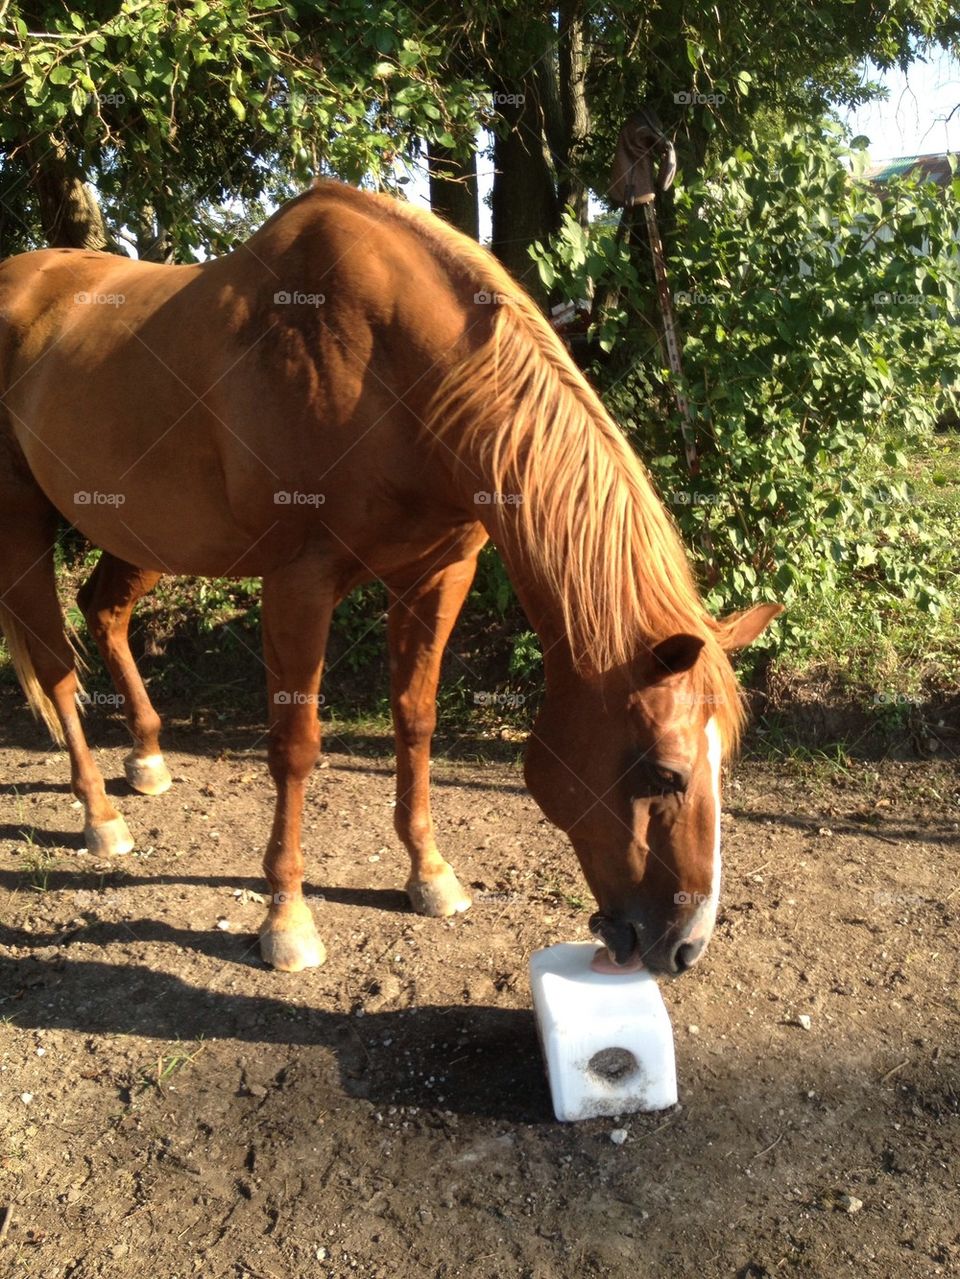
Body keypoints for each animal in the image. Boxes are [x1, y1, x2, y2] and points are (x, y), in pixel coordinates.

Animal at [0, 180, 782, 972]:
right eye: (664, 773)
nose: (685, 946)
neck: (394, 370)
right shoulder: (299, 583)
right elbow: (296, 745)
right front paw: (287, 919)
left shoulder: (437, 575)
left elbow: (416, 720)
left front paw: (430, 874)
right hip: (24, 526)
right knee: (56, 664)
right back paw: (100, 814)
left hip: (142, 533)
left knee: (104, 611)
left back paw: (148, 757)